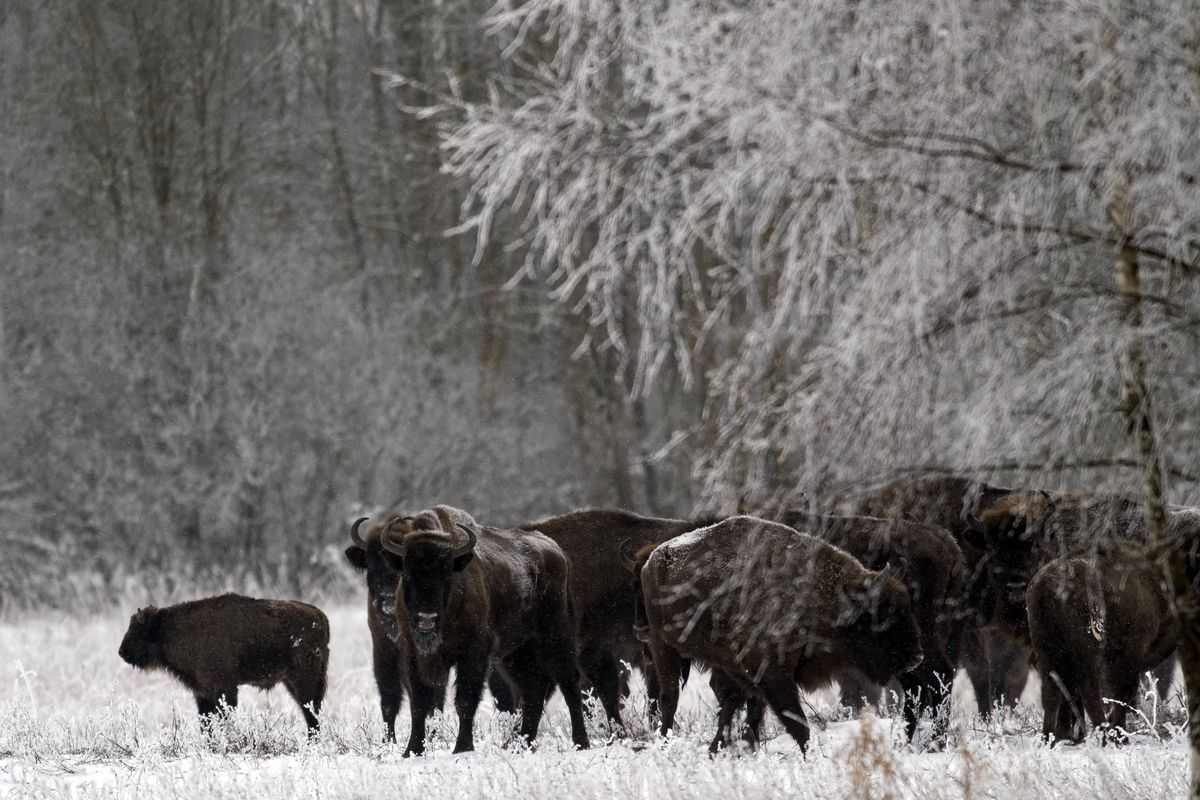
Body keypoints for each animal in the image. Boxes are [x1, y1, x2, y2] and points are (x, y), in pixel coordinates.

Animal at [118, 592, 331, 734]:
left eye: (138, 630)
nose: (121, 652)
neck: (167, 629)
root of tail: (320, 616)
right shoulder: (202, 692)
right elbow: (205, 723)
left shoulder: (224, 688)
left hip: (303, 680)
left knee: (311, 712)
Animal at [381, 506, 588, 758]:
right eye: (408, 574)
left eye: (446, 574)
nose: (426, 619)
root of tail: (557, 553)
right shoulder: (414, 655)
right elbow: (419, 703)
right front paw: (412, 751)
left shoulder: (473, 653)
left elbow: (465, 700)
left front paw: (462, 747)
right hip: (516, 653)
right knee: (534, 688)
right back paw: (523, 744)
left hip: (556, 637)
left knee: (569, 682)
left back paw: (580, 742)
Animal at [638, 515, 916, 753]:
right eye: (880, 616)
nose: (917, 658)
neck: (821, 597)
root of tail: (653, 561)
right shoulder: (773, 676)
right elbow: (797, 723)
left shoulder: (751, 674)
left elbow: (745, 709)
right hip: (663, 647)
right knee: (670, 697)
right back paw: (665, 743)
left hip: (719, 660)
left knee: (723, 700)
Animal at [1022, 542, 1171, 748]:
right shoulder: (1129, 655)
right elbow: (1122, 694)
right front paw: (1120, 737)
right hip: (1086, 653)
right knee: (1089, 691)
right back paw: (1103, 734)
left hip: (1046, 651)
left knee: (1051, 692)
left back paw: (1049, 738)